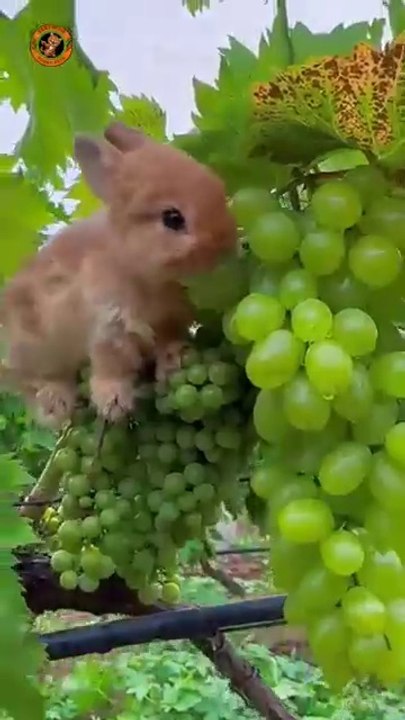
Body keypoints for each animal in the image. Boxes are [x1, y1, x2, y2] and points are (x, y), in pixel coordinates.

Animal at [0, 121, 237, 429]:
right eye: (173, 218)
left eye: (219, 188)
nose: (228, 246)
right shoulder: (110, 322)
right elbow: (113, 363)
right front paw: (113, 402)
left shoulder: (170, 321)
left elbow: (168, 339)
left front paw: (174, 361)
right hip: (35, 348)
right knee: (27, 381)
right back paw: (56, 402)